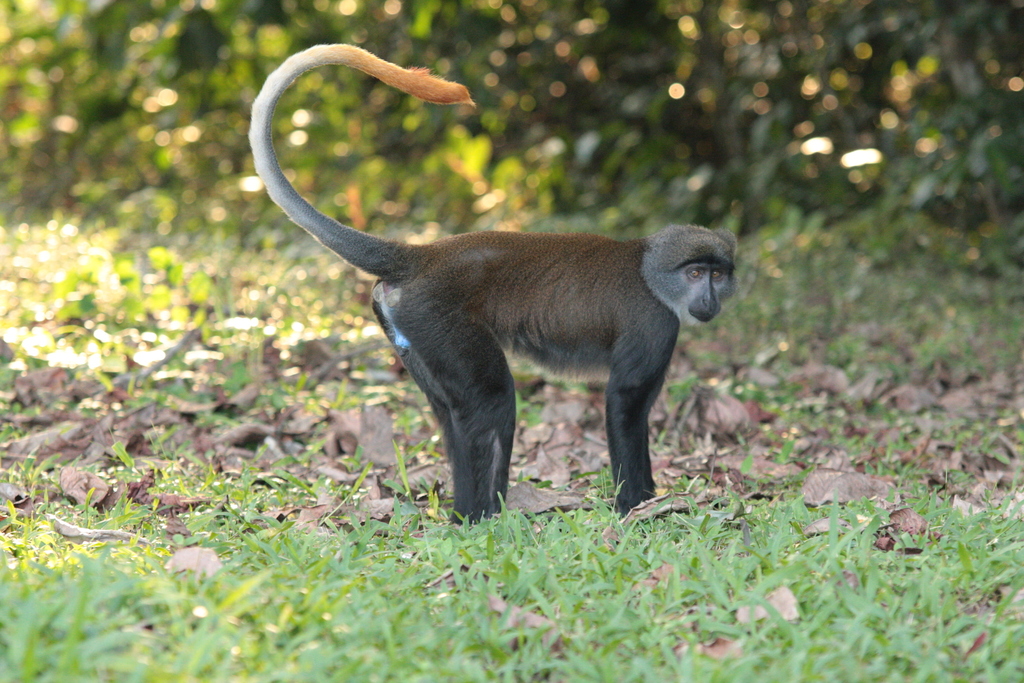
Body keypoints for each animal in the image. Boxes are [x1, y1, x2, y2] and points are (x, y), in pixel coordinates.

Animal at [250, 44, 737, 523]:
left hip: (411, 330)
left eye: (718, 274)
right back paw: (480, 517)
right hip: (437, 317)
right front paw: (636, 507)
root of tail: (424, 255)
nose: (710, 298)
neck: (648, 269)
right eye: (696, 274)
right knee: (491, 399)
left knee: (452, 413)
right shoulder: (654, 324)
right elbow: (624, 404)